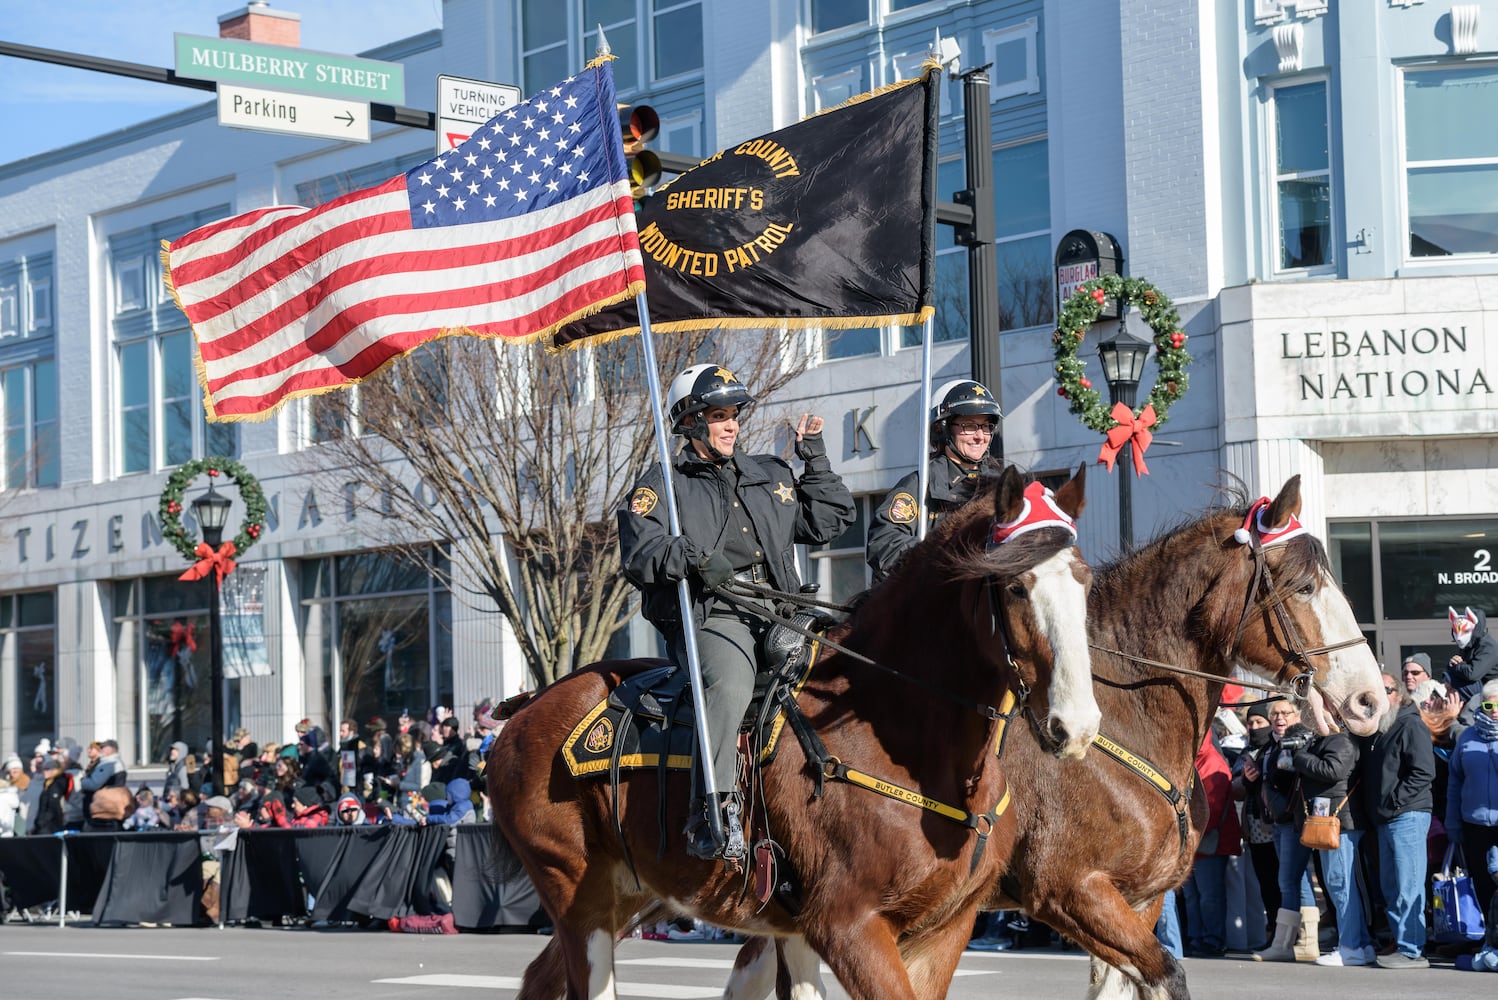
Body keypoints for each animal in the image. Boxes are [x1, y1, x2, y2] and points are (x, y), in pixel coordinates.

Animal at [491, 464, 1102, 994]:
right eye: (1017, 587)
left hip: (638, 893)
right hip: (581, 897)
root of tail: (527, 706)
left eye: (1086, 581)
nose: (1075, 726)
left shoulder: (945, 928)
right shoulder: (851, 927)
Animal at [719, 476, 1384, 999]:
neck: (1126, 717)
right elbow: (1166, 975)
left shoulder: (1140, 901)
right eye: (1304, 587)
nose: (1370, 700)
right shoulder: (1070, 890)